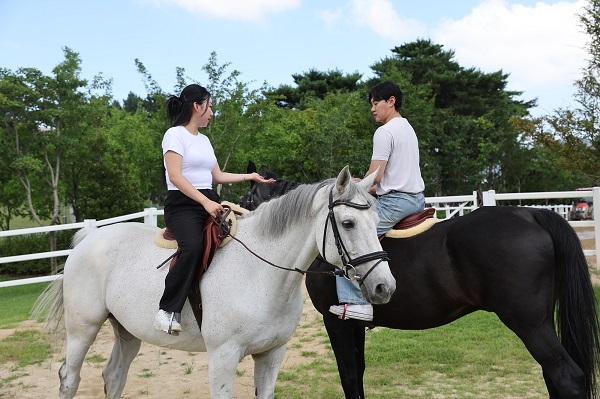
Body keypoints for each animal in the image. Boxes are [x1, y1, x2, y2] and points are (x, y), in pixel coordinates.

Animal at [35, 168, 396, 399]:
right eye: (348, 223)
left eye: (377, 220)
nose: (385, 286)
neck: (261, 274)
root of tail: (89, 237)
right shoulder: (224, 356)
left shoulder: (272, 354)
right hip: (83, 328)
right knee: (69, 378)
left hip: (126, 331)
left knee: (114, 376)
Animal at [240, 162, 600, 399]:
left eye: (246, 200)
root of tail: (530, 213)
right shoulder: (354, 325)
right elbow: (359, 372)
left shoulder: (337, 321)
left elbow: (349, 376)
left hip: (529, 323)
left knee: (567, 376)